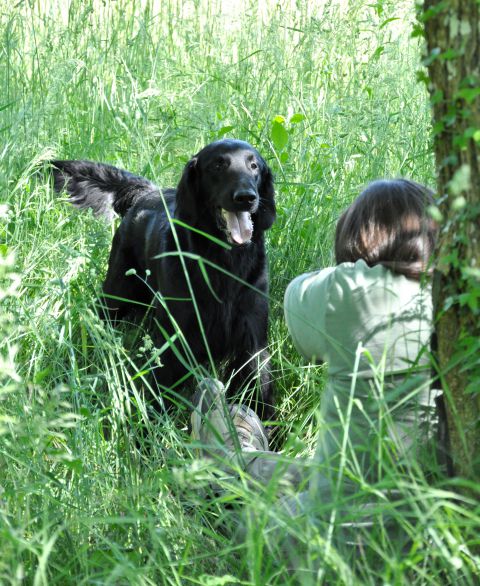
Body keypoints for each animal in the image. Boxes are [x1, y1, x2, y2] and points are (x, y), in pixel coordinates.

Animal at [53, 139, 276, 416]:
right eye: (218, 165)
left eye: (254, 166)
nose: (246, 197)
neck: (222, 262)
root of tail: (148, 192)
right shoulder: (174, 336)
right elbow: (160, 387)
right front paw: (151, 425)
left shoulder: (252, 339)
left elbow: (259, 386)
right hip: (117, 291)